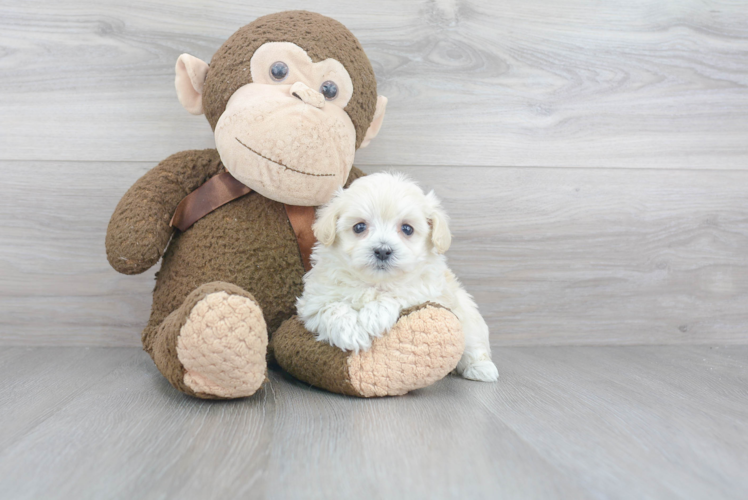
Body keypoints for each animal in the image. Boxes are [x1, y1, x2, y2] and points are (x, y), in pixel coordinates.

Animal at [296, 172, 500, 382]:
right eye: (359, 227)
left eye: (407, 229)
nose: (382, 251)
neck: (375, 282)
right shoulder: (313, 301)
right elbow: (331, 308)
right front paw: (351, 331)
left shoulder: (429, 291)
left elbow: (399, 293)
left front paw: (373, 316)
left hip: (469, 317)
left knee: (474, 345)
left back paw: (482, 368)